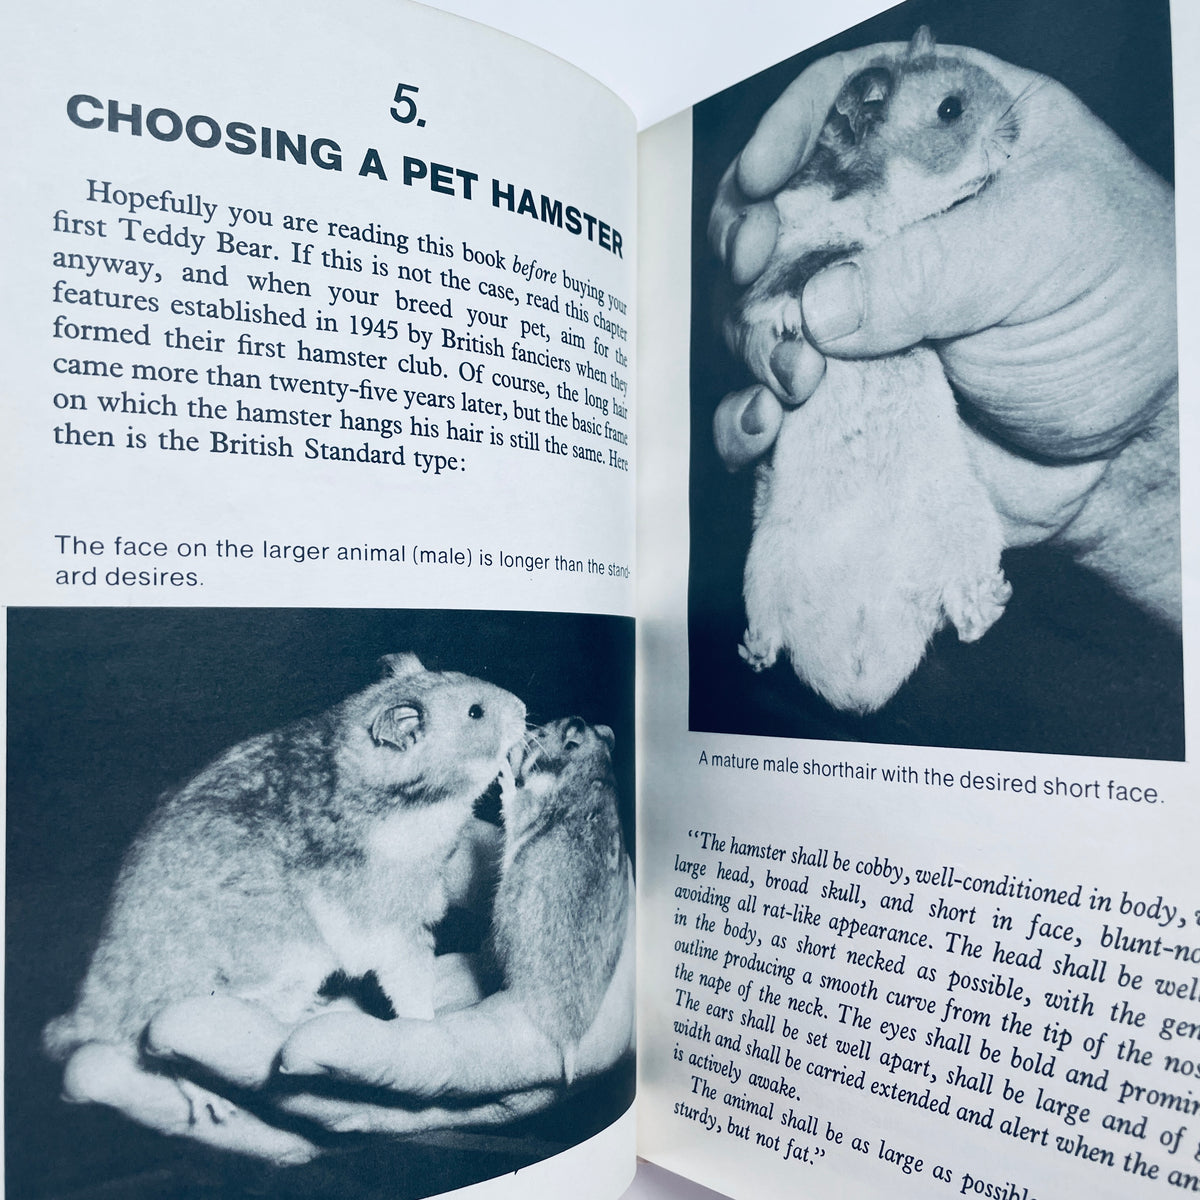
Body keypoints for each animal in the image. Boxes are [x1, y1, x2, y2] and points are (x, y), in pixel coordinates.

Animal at [44, 652, 528, 1067]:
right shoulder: (393, 925)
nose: (524, 708)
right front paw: (426, 1022)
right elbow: (408, 981)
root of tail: (89, 1010)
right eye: (475, 712)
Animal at [490, 717, 630, 1085]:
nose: (521, 732)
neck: (593, 762)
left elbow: (516, 802)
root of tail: (571, 1039)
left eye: (540, 734)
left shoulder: (533, 802)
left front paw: (505, 773)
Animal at [728, 28, 1019, 712]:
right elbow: (797, 271)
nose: (1017, 137)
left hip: (966, 521)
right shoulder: (780, 243)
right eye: (950, 109)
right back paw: (754, 648)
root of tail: (859, 675)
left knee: (962, 615)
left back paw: (990, 596)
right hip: (765, 555)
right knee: (772, 629)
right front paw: (792, 317)